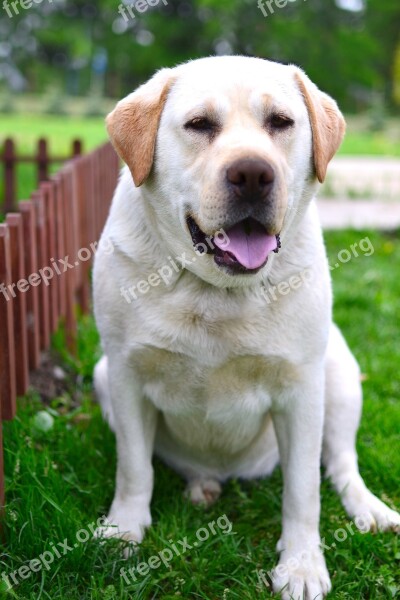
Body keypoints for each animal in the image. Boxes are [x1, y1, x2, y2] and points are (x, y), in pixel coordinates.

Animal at [92, 55, 398, 596]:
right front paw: (124, 530)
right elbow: (134, 468)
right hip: (101, 374)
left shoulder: (301, 389)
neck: (215, 290)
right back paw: (202, 485)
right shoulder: (125, 374)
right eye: (199, 125)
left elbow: (303, 489)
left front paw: (301, 565)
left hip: (339, 372)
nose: (253, 173)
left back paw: (369, 509)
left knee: (341, 463)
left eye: (280, 122)